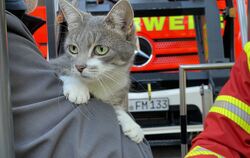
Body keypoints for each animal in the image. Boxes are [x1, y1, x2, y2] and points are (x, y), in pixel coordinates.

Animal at [49, 0, 144, 143]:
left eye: (101, 49)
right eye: (73, 48)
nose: (79, 66)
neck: (101, 81)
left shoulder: (118, 88)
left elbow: (115, 107)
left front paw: (131, 124)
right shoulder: (56, 63)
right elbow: (63, 70)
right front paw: (77, 88)